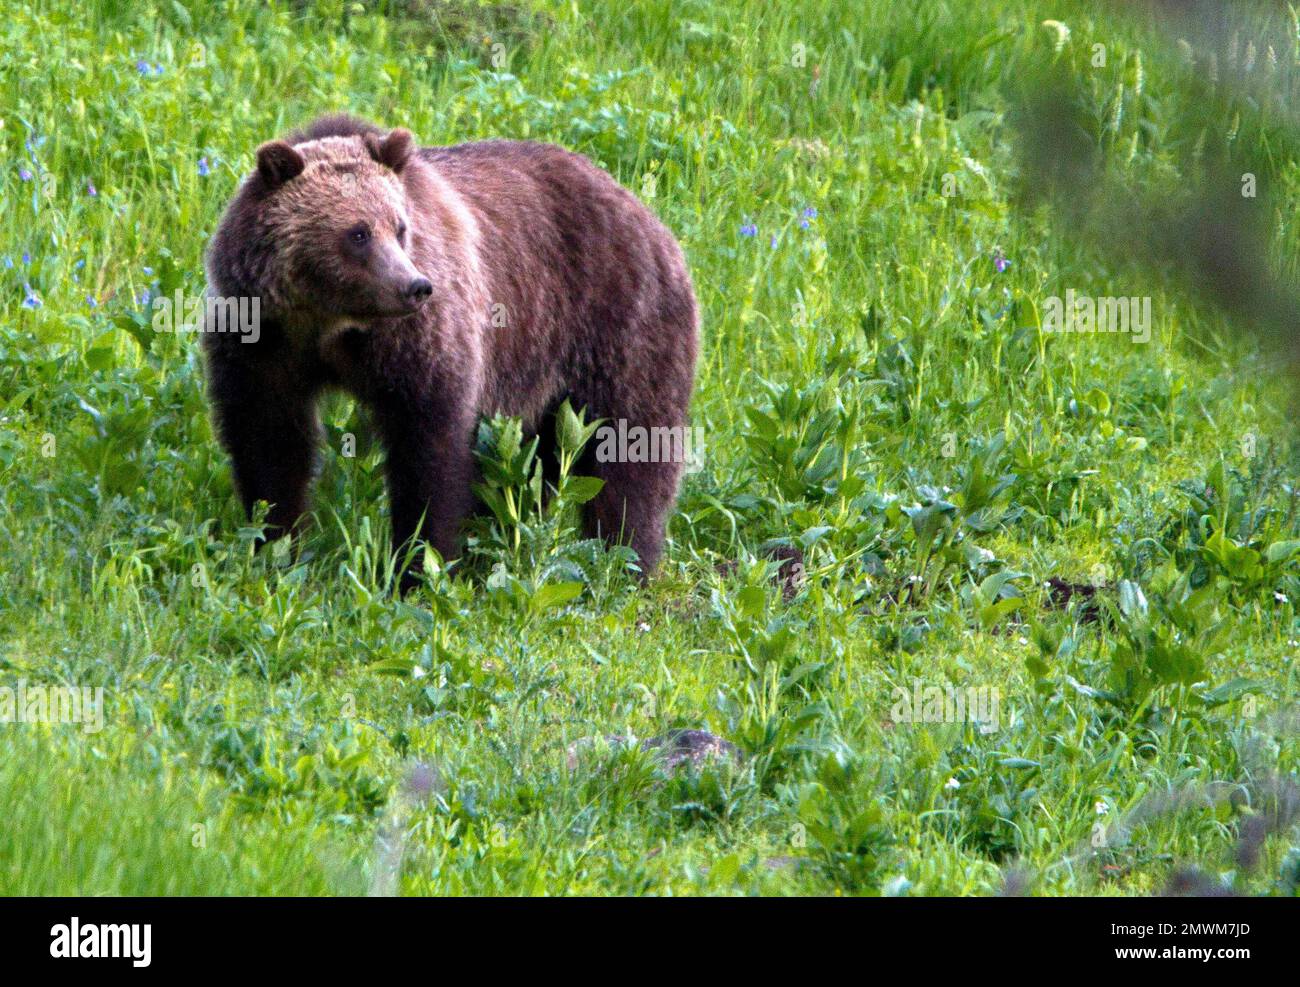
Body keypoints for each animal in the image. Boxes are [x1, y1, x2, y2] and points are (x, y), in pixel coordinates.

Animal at [201, 118, 696, 590]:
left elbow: (429, 450)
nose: (414, 286)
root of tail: (643, 210)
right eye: (358, 233)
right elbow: (270, 442)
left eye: (400, 227)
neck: (329, 324)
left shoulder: (417, 343)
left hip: (616, 321)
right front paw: (275, 545)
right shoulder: (262, 341)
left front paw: (418, 566)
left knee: (632, 447)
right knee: (535, 462)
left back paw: (625, 560)